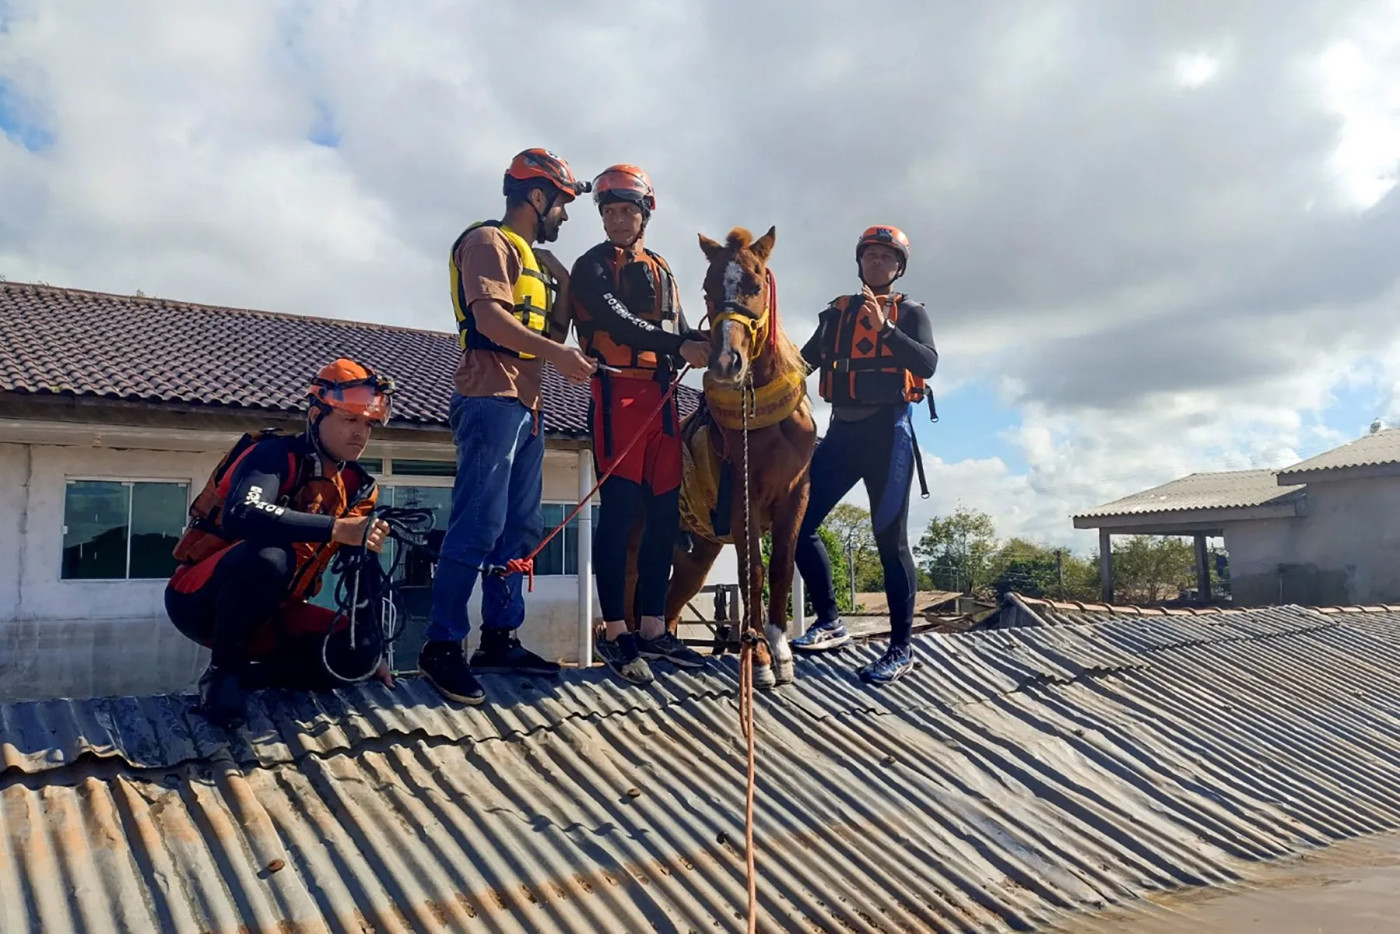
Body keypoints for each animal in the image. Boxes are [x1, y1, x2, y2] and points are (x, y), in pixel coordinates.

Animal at [621, 228, 817, 686]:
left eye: (756, 285)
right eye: (708, 290)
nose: (727, 362)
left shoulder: (796, 495)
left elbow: (781, 567)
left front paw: (780, 651)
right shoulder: (744, 498)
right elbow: (753, 573)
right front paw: (758, 657)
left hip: (696, 554)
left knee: (673, 600)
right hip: (639, 535)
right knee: (628, 587)